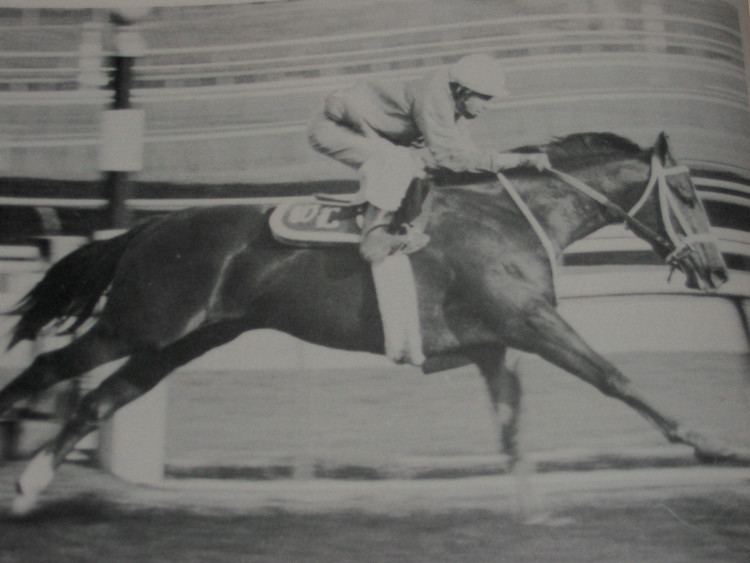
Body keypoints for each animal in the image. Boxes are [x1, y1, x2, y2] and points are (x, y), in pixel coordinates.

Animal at [0, 130, 744, 512]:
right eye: (687, 193)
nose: (716, 268)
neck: (512, 218)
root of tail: (147, 227)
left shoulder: (495, 347)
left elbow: (511, 432)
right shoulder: (531, 322)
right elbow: (617, 378)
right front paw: (712, 443)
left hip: (179, 341)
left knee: (100, 398)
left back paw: (33, 482)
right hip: (140, 324)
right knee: (51, 369)